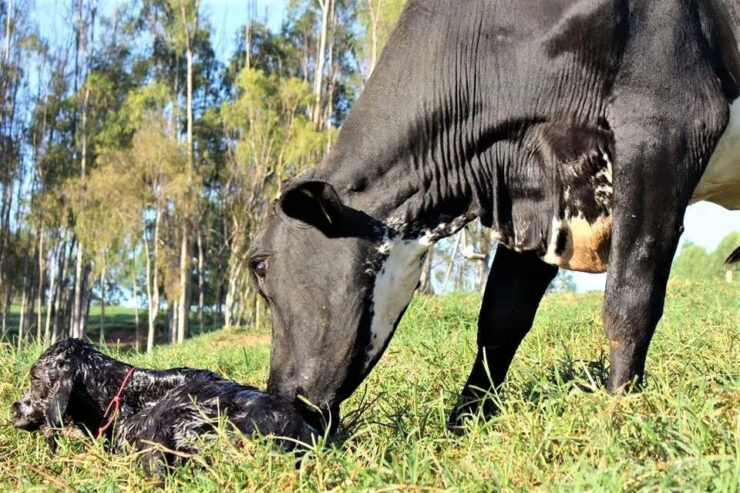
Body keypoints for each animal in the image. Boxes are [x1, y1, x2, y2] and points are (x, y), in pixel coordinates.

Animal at [248, 0, 740, 432]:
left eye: (260, 265)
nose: (280, 397)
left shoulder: (668, 122)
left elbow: (630, 299)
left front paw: (619, 409)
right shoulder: (539, 194)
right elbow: (501, 318)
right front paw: (463, 423)